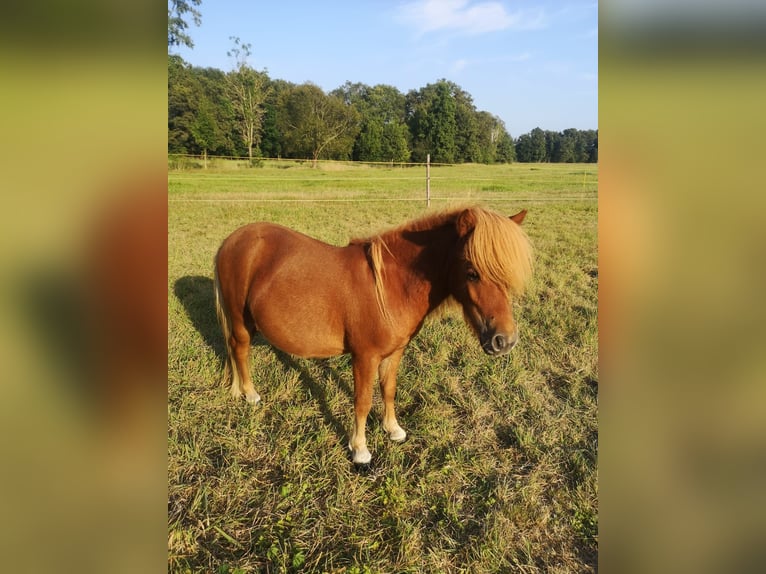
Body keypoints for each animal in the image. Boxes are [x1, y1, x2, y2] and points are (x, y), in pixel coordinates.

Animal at [213, 207, 532, 464]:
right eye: (472, 272)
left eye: (506, 273)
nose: (504, 341)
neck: (391, 286)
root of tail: (232, 241)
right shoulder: (364, 357)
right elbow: (363, 401)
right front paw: (360, 450)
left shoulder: (394, 352)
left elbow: (388, 390)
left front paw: (393, 430)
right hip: (240, 322)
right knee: (240, 349)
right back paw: (250, 395)